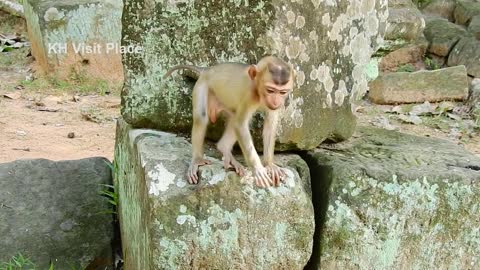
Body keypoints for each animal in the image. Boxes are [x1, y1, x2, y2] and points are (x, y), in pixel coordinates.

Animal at [165, 56, 292, 188]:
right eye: (270, 90)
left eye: (282, 92)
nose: (276, 101)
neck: (258, 90)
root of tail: (207, 69)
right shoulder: (250, 95)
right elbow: (240, 125)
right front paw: (258, 169)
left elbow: (269, 125)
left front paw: (269, 164)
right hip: (202, 87)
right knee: (202, 117)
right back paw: (198, 159)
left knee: (233, 118)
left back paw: (224, 148)